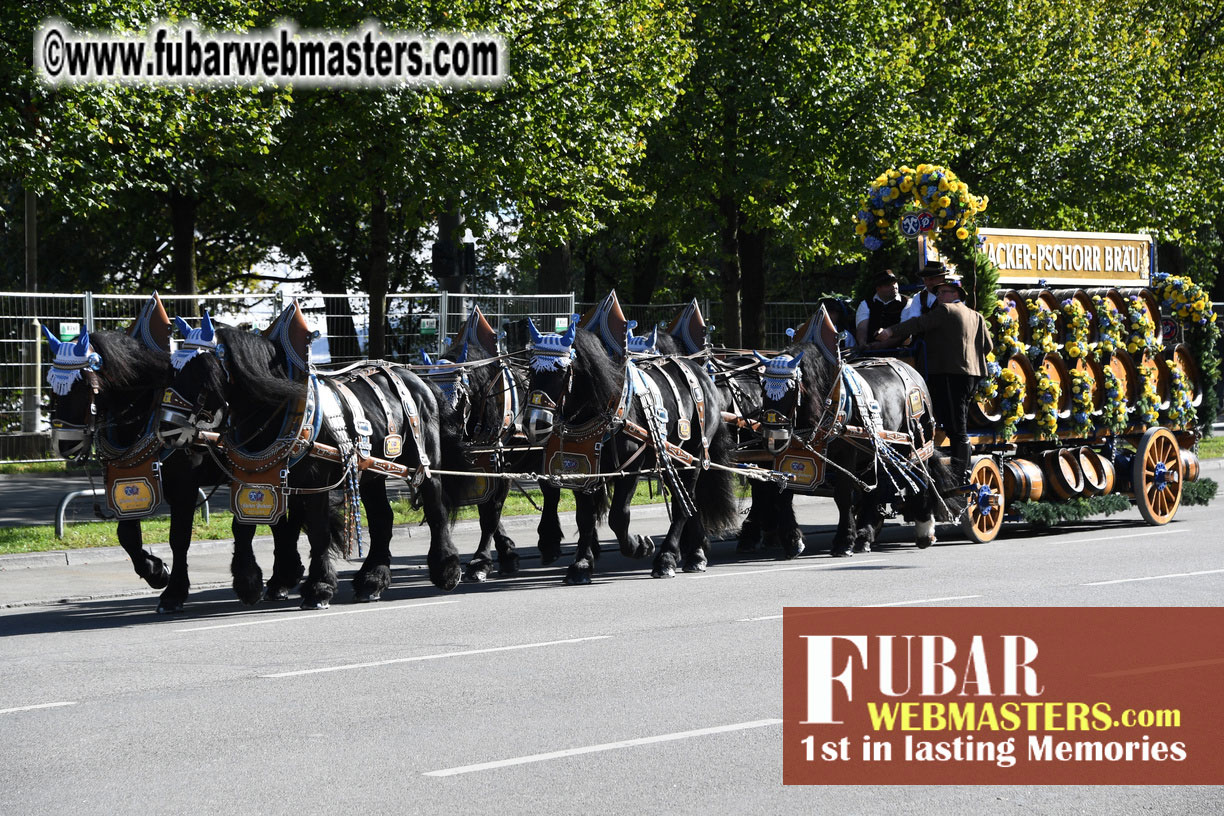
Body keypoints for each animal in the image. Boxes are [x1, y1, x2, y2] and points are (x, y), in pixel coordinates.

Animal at [160, 325, 465, 606]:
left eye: (200, 373)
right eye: (172, 372)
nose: (166, 428)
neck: (279, 412)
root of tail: (417, 379)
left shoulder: (315, 483)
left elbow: (317, 531)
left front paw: (319, 587)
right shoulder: (254, 476)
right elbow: (244, 529)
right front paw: (249, 584)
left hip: (424, 463)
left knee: (435, 509)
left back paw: (446, 570)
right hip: (373, 472)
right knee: (382, 519)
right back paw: (372, 580)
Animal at [518, 322, 729, 584]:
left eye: (561, 370)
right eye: (531, 368)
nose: (533, 423)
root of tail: (702, 374)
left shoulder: (631, 468)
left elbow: (619, 516)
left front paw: (640, 546)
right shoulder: (582, 469)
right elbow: (584, 517)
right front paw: (581, 565)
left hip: (692, 458)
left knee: (683, 504)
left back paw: (667, 558)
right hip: (671, 460)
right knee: (689, 500)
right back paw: (696, 553)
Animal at [753, 337, 954, 555]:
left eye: (791, 388)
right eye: (763, 388)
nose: (773, 438)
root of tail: (912, 371)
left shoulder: (846, 454)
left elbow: (842, 496)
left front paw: (843, 541)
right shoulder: (791, 453)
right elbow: (782, 493)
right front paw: (793, 540)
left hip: (916, 443)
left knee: (923, 477)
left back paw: (924, 529)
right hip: (873, 452)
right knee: (875, 488)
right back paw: (865, 534)